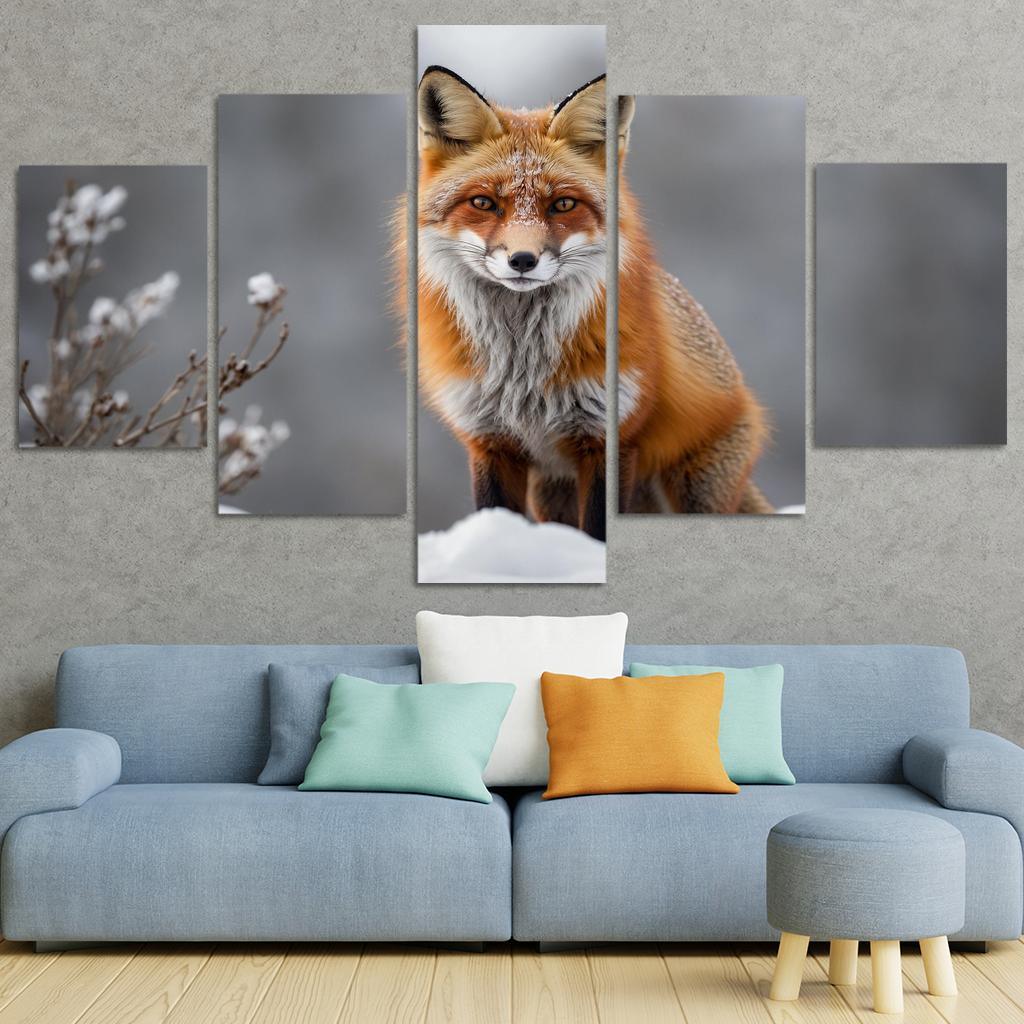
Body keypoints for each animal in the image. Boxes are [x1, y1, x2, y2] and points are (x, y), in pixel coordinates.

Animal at [407, 67, 771, 543]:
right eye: (483, 203)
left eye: (563, 204)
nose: (522, 260)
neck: (522, 368)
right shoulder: (491, 442)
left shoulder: (607, 440)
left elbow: (597, 530)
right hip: (551, 493)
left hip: (693, 490)